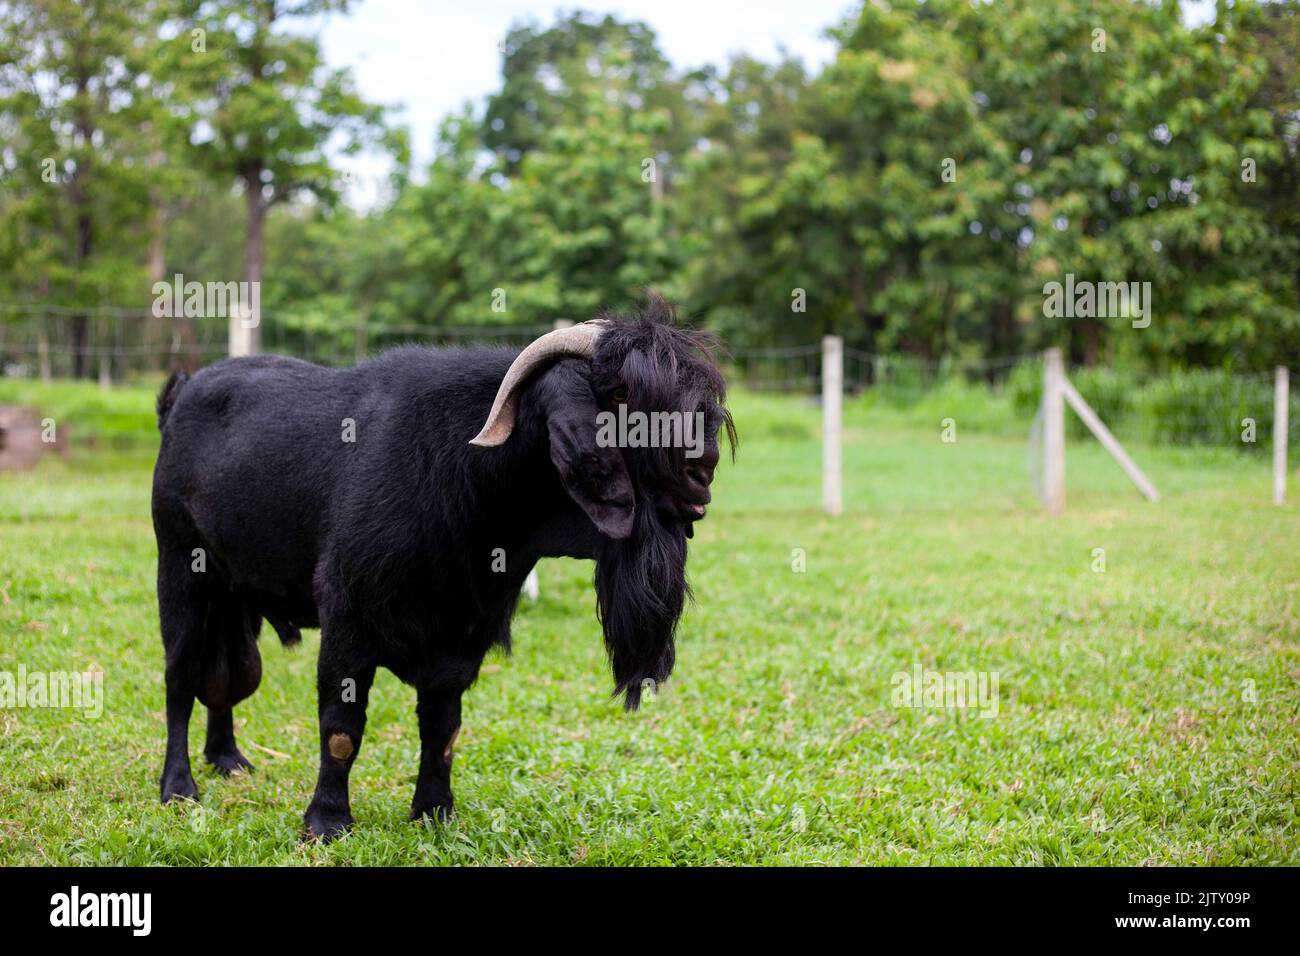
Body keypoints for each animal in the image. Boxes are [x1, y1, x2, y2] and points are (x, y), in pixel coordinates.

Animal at [149, 295, 733, 842]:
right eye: (620, 395)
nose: (702, 470)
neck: (467, 485)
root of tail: (181, 393)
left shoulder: (462, 634)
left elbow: (443, 729)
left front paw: (434, 813)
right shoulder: (346, 617)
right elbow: (341, 729)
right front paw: (327, 822)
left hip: (232, 593)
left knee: (224, 675)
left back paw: (227, 759)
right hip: (179, 566)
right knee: (180, 676)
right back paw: (178, 785)